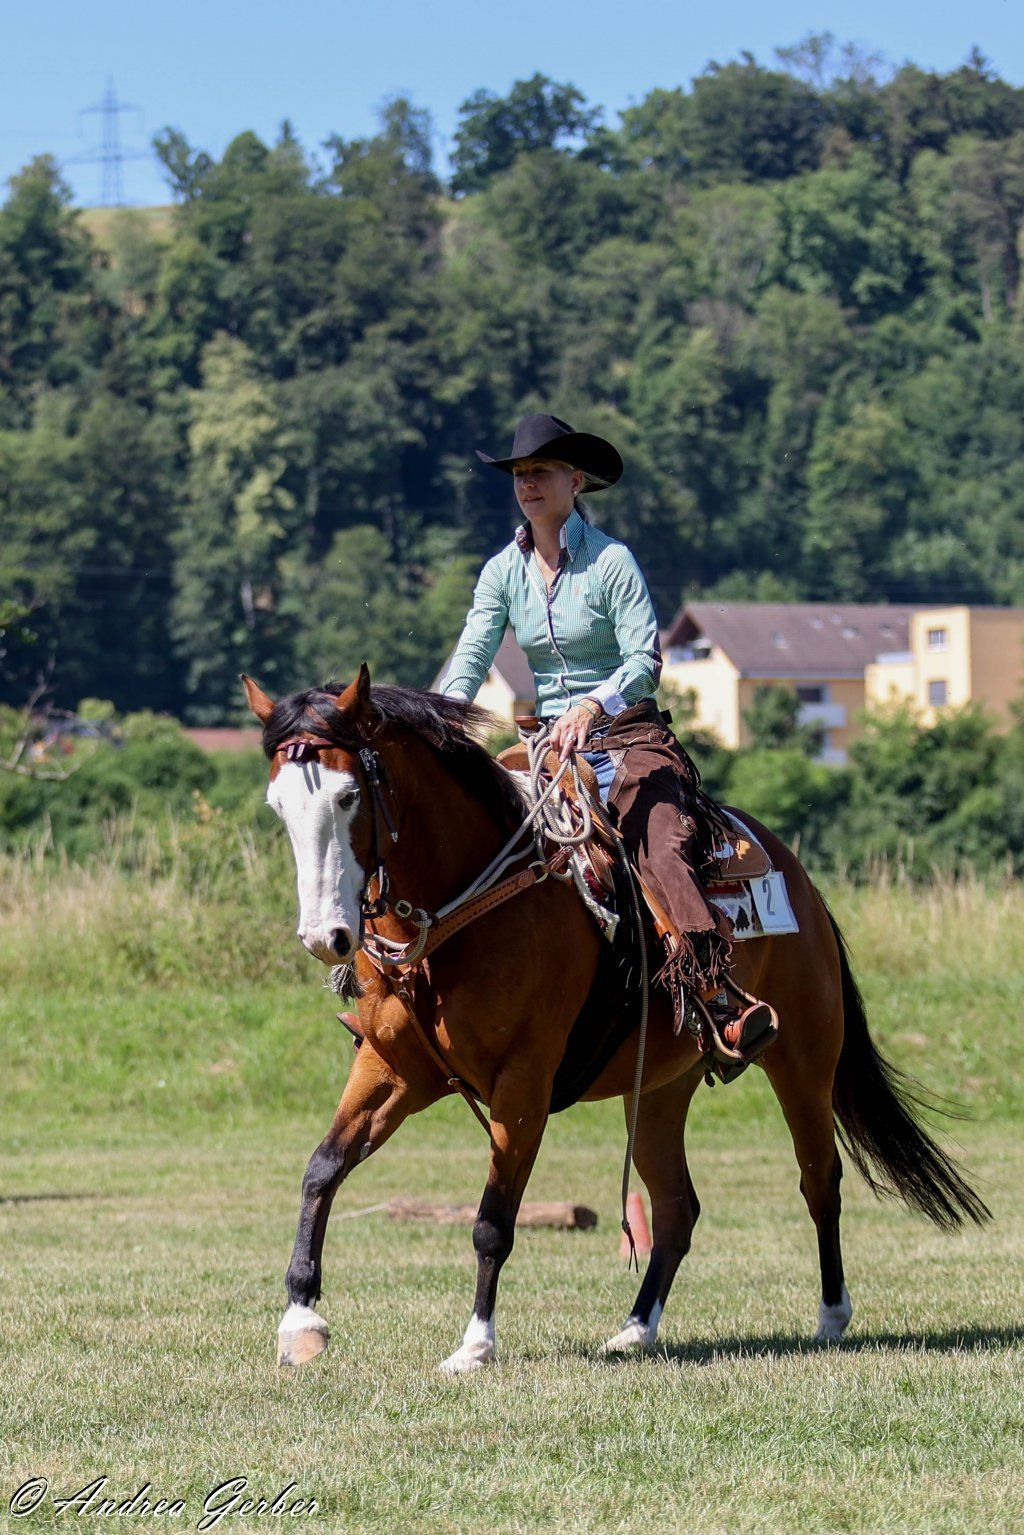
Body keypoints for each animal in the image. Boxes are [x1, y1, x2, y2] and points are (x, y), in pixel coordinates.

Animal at [243, 666, 989, 1375]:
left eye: (347, 797)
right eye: (279, 804)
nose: (326, 936)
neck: (467, 908)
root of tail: (797, 874)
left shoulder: (524, 1084)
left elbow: (493, 1221)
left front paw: (475, 1345)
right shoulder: (394, 1067)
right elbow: (322, 1168)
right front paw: (300, 1322)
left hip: (805, 1057)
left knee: (819, 1178)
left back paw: (832, 1315)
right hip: (661, 1087)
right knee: (677, 1206)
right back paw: (635, 1328)